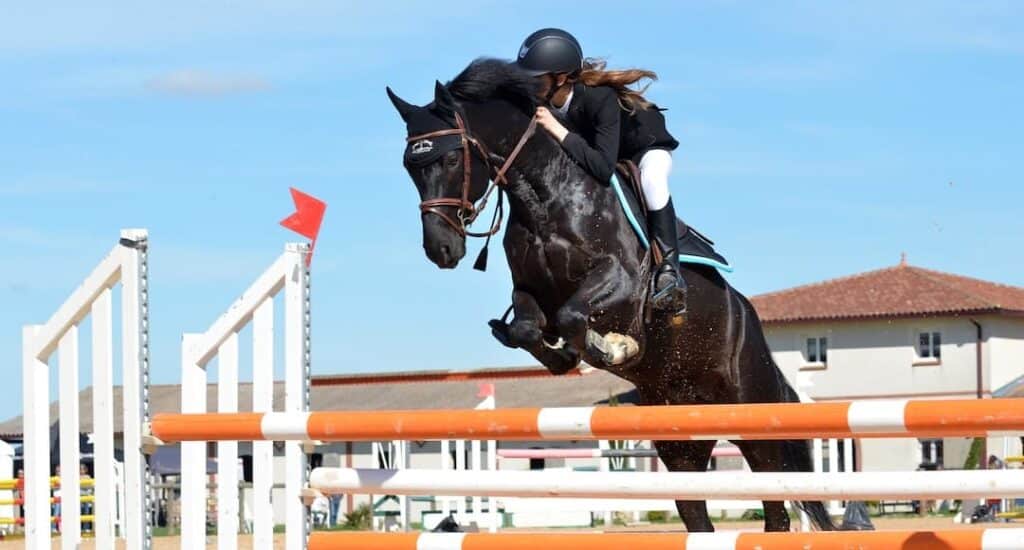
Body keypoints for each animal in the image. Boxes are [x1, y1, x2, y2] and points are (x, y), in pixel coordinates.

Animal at [387, 59, 835, 532]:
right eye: (410, 167)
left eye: (453, 157)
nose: (441, 249)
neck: (545, 195)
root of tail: (748, 317)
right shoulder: (530, 292)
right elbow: (529, 328)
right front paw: (565, 356)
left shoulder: (621, 283)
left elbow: (574, 316)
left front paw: (614, 348)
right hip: (680, 437)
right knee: (699, 514)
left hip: (753, 414)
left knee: (776, 505)